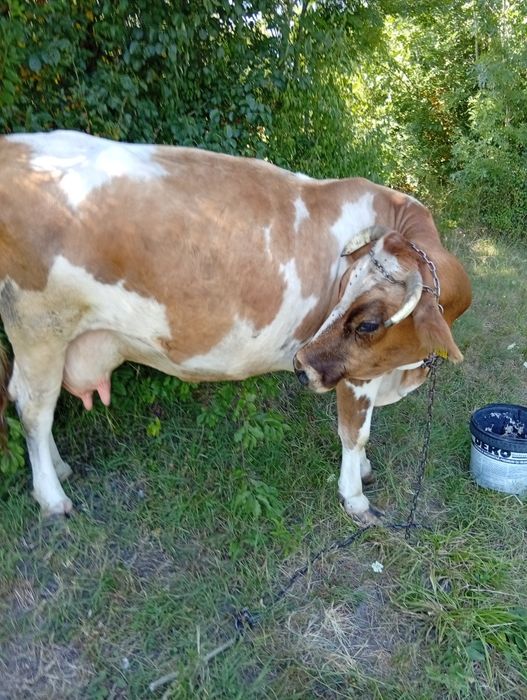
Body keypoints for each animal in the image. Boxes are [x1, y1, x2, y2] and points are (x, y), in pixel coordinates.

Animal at [0, 130, 471, 524]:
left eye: (367, 320)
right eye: (347, 297)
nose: (301, 365)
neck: (402, 373)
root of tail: (15, 145)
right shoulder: (354, 372)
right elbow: (356, 431)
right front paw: (355, 497)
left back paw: (60, 469)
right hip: (38, 328)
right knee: (34, 409)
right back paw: (52, 497)